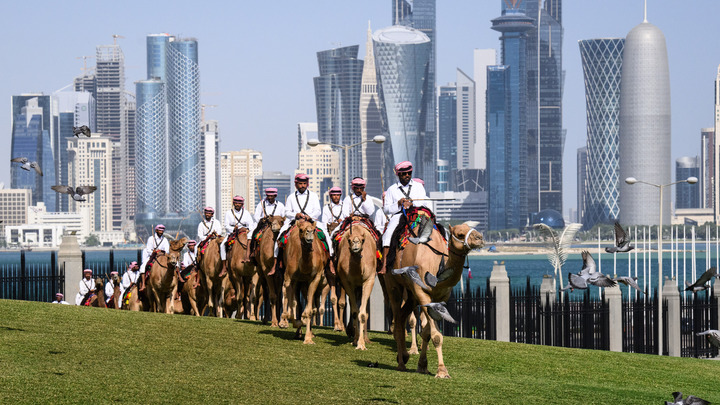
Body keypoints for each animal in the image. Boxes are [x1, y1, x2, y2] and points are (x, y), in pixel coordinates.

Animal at [338, 219, 380, 348]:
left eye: (362, 240)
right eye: (349, 240)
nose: (355, 245)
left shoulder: (369, 280)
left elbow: (362, 313)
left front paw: (361, 344)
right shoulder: (347, 282)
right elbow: (355, 312)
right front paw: (356, 340)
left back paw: (366, 338)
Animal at [382, 219, 484, 378]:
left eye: (470, 227)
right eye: (460, 234)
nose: (479, 238)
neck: (436, 266)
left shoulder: (441, 297)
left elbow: (426, 332)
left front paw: (422, 366)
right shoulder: (422, 294)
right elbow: (436, 335)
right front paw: (442, 371)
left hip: (411, 295)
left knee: (402, 317)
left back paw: (403, 356)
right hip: (393, 284)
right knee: (397, 316)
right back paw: (401, 364)